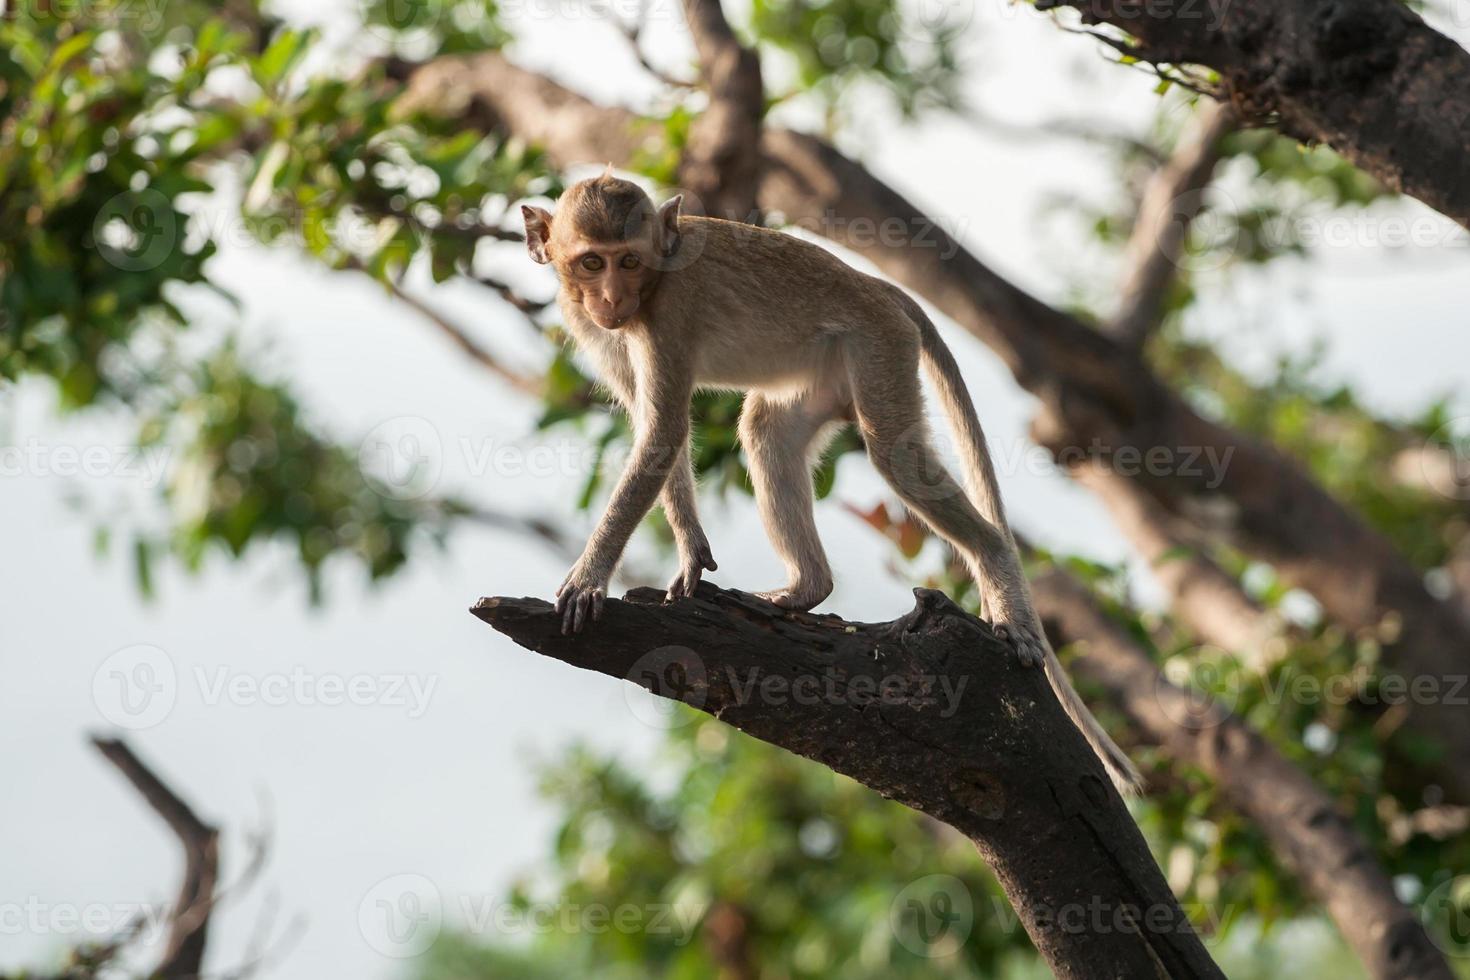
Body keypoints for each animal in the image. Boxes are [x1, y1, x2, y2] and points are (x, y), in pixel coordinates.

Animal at [523, 174, 1140, 799]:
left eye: (630, 260)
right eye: (592, 262)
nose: (611, 301)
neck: (649, 289)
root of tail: (878, 287)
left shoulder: (668, 313)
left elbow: (662, 432)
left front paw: (588, 579)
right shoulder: (596, 328)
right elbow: (653, 429)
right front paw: (692, 549)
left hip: (878, 348)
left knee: (896, 457)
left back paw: (995, 573)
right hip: (826, 372)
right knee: (768, 432)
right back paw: (806, 589)